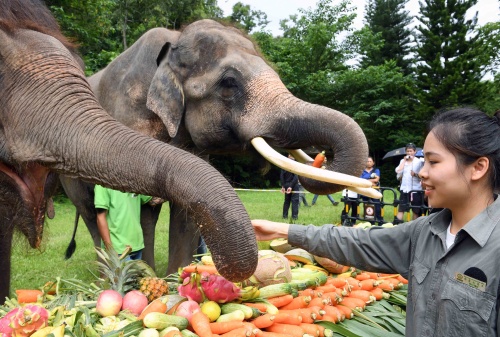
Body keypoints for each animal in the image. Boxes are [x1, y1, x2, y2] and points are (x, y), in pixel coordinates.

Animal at [62, 19, 376, 274]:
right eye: (228, 83)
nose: (322, 156)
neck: (173, 42)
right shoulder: (129, 117)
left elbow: (187, 209)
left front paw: (177, 278)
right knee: (92, 213)